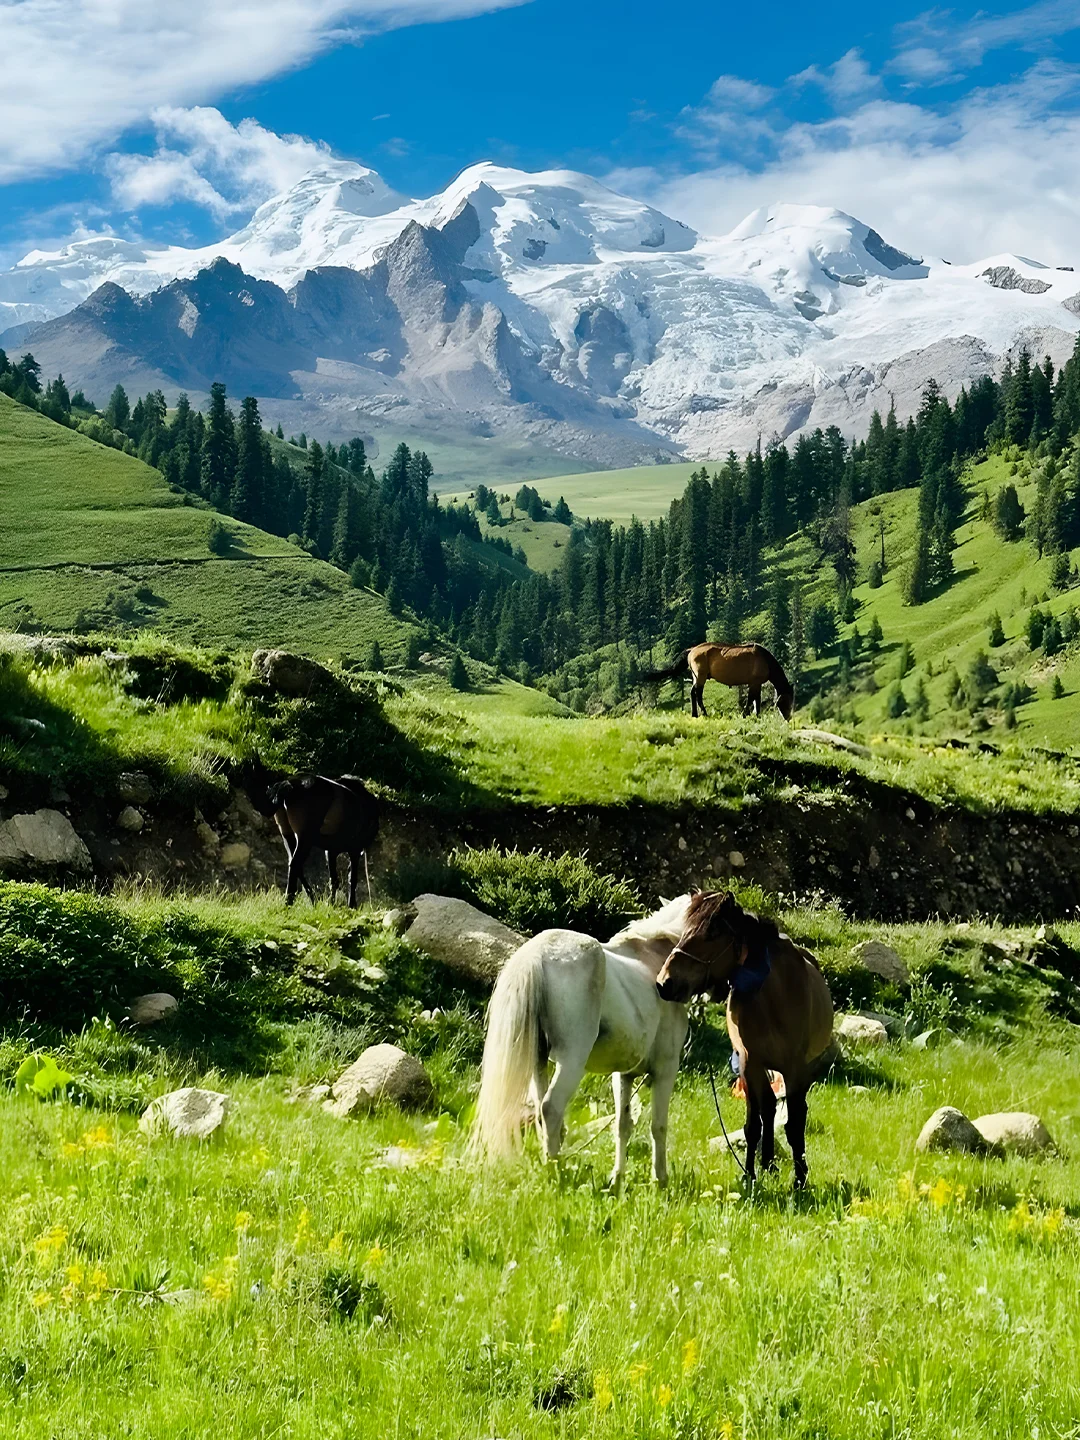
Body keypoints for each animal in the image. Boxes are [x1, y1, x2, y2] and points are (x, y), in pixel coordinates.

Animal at [243, 760, 383, 904]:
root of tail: (290, 783)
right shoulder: (354, 849)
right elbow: (352, 878)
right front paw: (351, 905)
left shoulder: (331, 851)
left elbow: (334, 879)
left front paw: (331, 903)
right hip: (305, 838)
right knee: (295, 864)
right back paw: (290, 901)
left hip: (288, 835)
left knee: (295, 865)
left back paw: (310, 898)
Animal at [472, 892, 694, 1186]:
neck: (654, 959)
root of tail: (537, 953)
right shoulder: (666, 1070)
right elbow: (658, 1126)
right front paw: (661, 1181)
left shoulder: (623, 1075)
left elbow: (623, 1125)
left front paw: (617, 1180)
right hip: (571, 1060)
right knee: (551, 1108)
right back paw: (557, 1174)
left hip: (537, 1061)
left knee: (542, 1113)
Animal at [642, 642, 794, 720]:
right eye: (786, 702)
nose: (788, 718)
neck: (765, 660)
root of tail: (691, 650)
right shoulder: (754, 682)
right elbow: (751, 699)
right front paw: (745, 714)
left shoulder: (757, 684)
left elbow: (757, 700)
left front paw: (757, 716)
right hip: (701, 676)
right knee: (697, 694)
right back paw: (704, 713)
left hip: (695, 676)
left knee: (692, 693)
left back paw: (695, 714)